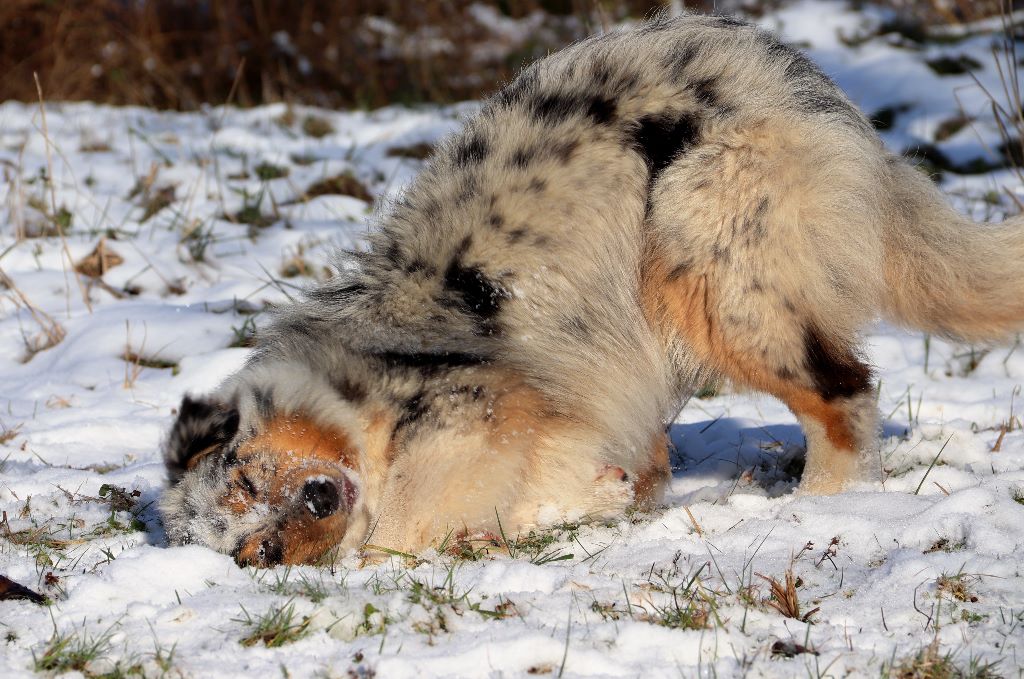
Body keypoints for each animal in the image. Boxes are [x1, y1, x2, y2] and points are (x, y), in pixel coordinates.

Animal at [157, 14, 1024, 569]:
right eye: (257, 546)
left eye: (249, 476)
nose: (314, 502)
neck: (367, 418)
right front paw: (604, 497)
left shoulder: (477, 412)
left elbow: (433, 512)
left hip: (714, 270)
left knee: (845, 390)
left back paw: (819, 501)